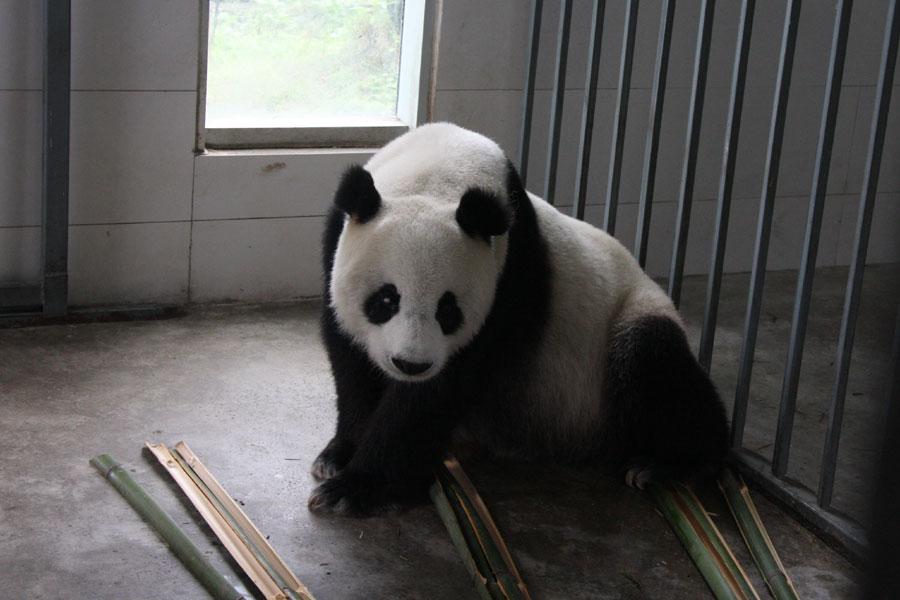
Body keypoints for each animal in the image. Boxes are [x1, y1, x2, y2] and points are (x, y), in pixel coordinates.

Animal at [308, 123, 728, 515]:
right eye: (385, 300)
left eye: (449, 310)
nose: (410, 364)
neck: (437, 174)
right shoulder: (336, 244)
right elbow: (350, 358)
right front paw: (339, 455)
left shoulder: (509, 276)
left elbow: (443, 388)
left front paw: (357, 487)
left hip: (628, 317)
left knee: (653, 363)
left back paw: (670, 464)